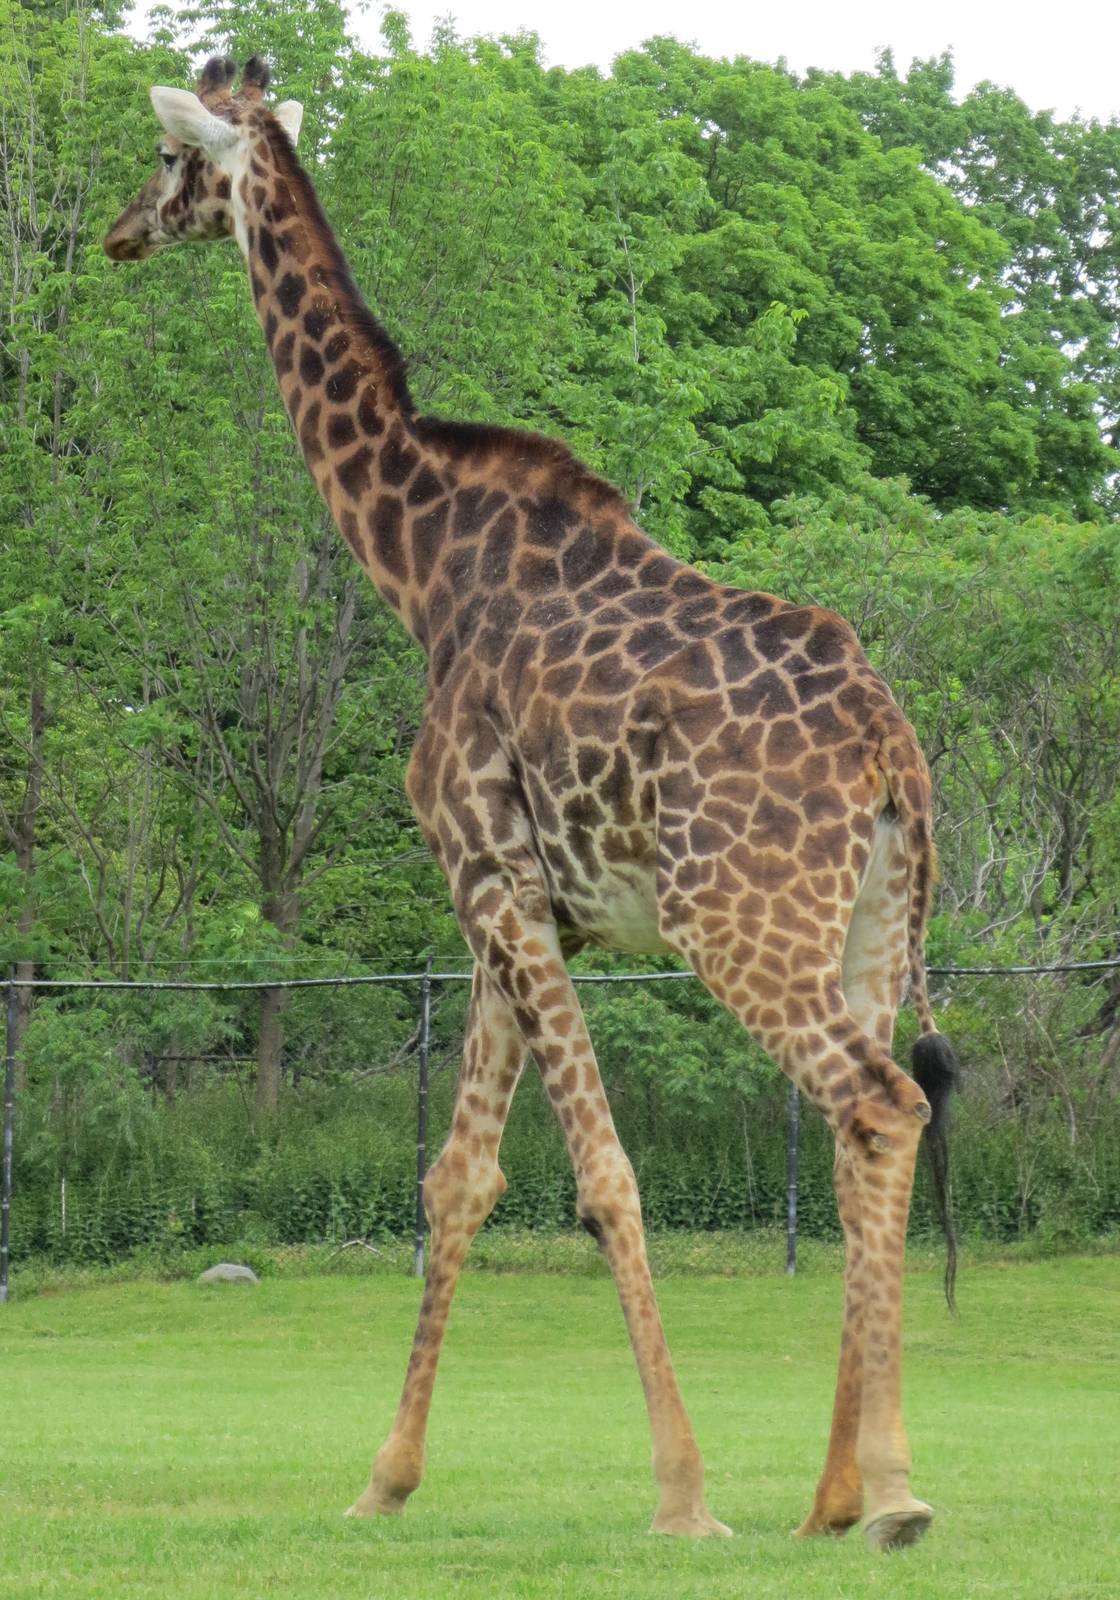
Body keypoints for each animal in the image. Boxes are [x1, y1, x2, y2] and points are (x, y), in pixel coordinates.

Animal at [104, 57, 958, 1553]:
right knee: (872, 1133)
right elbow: (459, 1178)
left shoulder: (486, 875)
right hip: (862, 926)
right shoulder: (514, 904)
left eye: (167, 156)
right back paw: (831, 1500)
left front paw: (681, 1496)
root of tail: (888, 749)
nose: (116, 233)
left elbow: (603, 1179)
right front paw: (382, 1482)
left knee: (877, 1107)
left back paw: (894, 1494)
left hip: (740, 921)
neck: (419, 563)